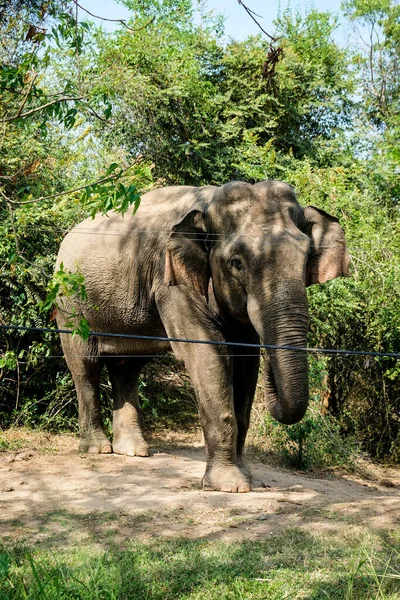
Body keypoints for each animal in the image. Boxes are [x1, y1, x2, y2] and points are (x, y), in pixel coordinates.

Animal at [54, 180, 348, 490]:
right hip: (70, 302)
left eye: (306, 259)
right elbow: (209, 355)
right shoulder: (170, 280)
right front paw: (231, 485)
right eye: (236, 263)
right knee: (85, 365)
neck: (209, 203)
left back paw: (134, 451)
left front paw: (247, 476)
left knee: (128, 367)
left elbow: (246, 362)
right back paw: (98, 449)